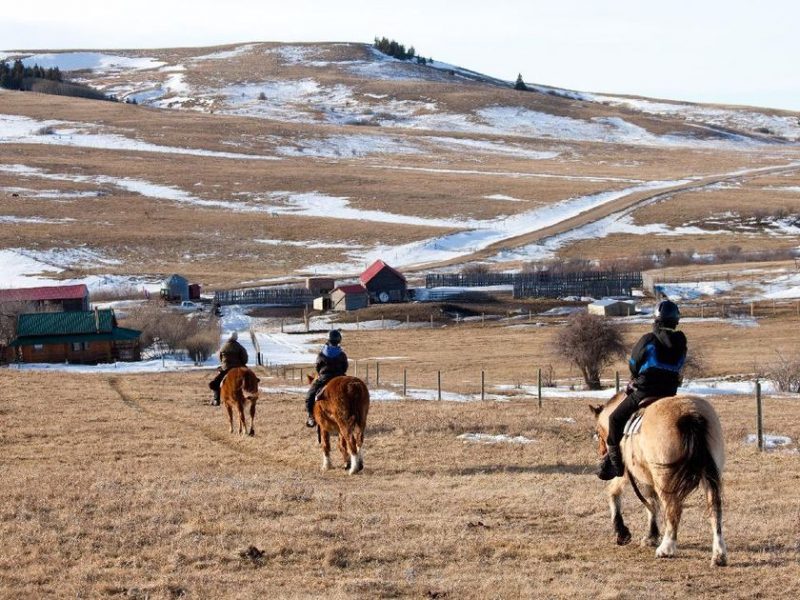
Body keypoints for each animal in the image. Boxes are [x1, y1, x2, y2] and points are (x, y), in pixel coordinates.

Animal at [589, 391, 727, 566]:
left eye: (598, 432)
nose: (600, 468)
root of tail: (689, 413)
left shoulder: (627, 473)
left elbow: (614, 492)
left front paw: (622, 532)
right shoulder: (648, 478)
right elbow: (651, 503)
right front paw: (651, 536)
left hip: (664, 478)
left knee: (673, 510)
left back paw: (666, 548)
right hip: (709, 475)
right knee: (715, 509)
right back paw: (719, 555)